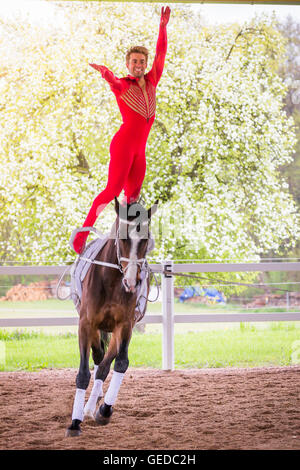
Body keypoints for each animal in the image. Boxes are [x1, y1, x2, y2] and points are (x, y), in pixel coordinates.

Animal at [66, 196, 158, 436]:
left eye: (146, 239)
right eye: (122, 237)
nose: (132, 282)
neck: (112, 281)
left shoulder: (125, 325)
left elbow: (120, 364)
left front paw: (104, 411)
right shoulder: (86, 324)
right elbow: (83, 373)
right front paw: (75, 422)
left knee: (104, 366)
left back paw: (93, 407)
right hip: (96, 329)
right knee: (98, 358)